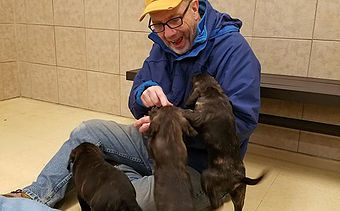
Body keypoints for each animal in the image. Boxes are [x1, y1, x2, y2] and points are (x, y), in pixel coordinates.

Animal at [183, 73, 266, 211]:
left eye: (195, 79)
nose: (194, 74)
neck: (213, 91)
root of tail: (239, 177)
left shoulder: (197, 116)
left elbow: (186, 112)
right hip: (239, 196)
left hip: (207, 177)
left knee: (217, 203)